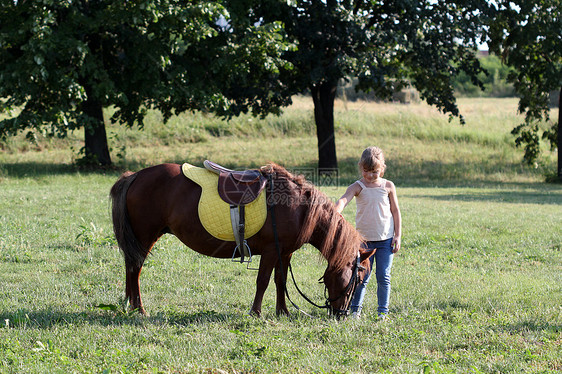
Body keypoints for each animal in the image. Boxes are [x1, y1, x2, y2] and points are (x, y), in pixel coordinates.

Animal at [110, 162, 372, 318]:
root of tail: (135, 176)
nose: (341, 315)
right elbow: (263, 281)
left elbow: (280, 281)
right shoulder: (270, 251)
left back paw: (130, 304)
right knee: (135, 269)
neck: (298, 207)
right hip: (145, 237)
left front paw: (283, 312)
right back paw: (139, 308)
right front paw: (256, 312)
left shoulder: (284, 252)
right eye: (358, 279)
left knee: (131, 268)